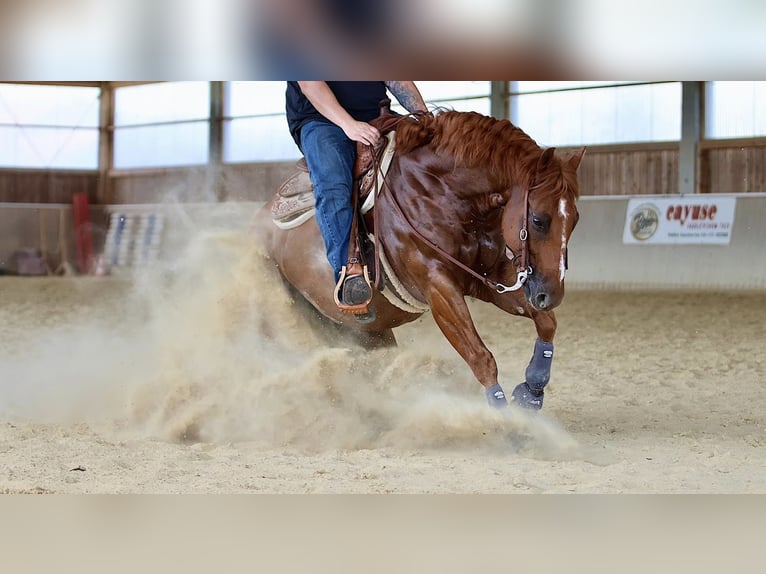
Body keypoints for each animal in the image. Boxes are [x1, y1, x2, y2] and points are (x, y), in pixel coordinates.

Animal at [255, 109, 584, 410]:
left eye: (575, 220)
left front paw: (532, 390)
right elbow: (480, 357)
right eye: (539, 220)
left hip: (366, 331)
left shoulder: (487, 278)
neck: (442, 194)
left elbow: (546, 322)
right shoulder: (438, 287)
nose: (551, 295)